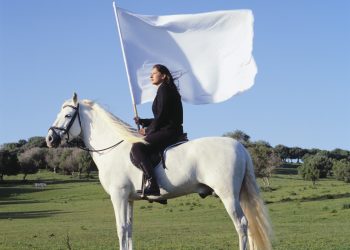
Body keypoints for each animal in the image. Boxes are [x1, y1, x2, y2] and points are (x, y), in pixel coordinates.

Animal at [45, 94, 270, 250]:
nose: (49, 139)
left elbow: (121, 229)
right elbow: (129, 230)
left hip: (228, 195)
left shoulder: (118, 197)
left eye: (67, 115)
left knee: (242, 225)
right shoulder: (129, 199)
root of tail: (239, 146)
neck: (113, 148)